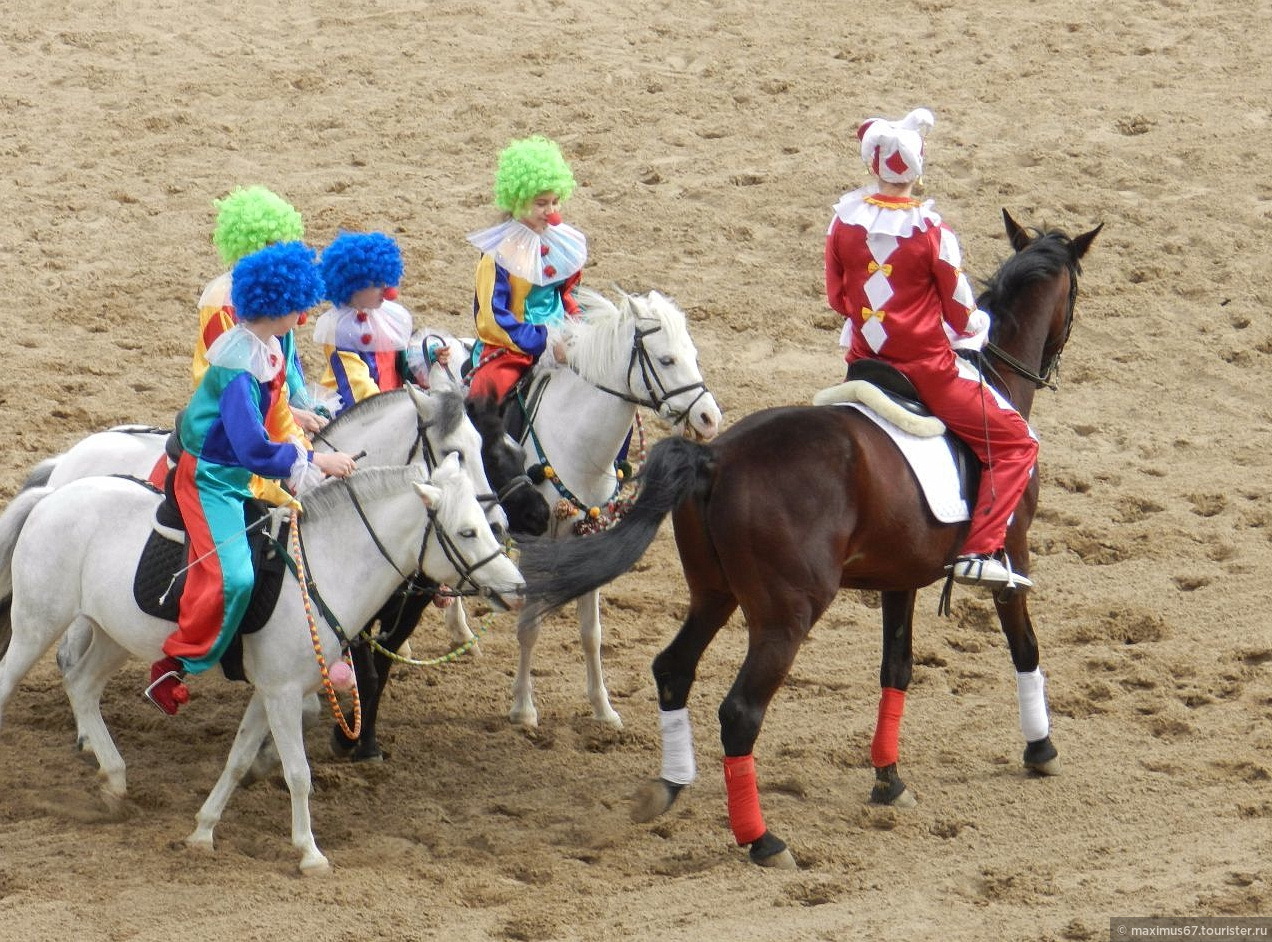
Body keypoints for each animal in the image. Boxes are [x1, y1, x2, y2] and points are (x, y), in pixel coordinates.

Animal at [0, 452, 521, 869]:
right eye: (467, 531)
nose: (516, 587)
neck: (325, 567)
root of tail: (53, 495)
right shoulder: (284, 694)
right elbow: (298, 773)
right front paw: (309, 852)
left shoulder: (271, 691)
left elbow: (238, 759)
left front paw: (203, 830)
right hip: (36, 625)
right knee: (14, 683)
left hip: (114, 635)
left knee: (82, 685)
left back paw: (114, 779)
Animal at [508, 286, 727, 727]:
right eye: (666, 359)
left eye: (693, 354)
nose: (709, 418)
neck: (574, 442)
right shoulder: (535, 543)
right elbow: (529, 626)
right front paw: (523, 708)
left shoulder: (588, 537)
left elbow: (592, 633)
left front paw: (603, 708)